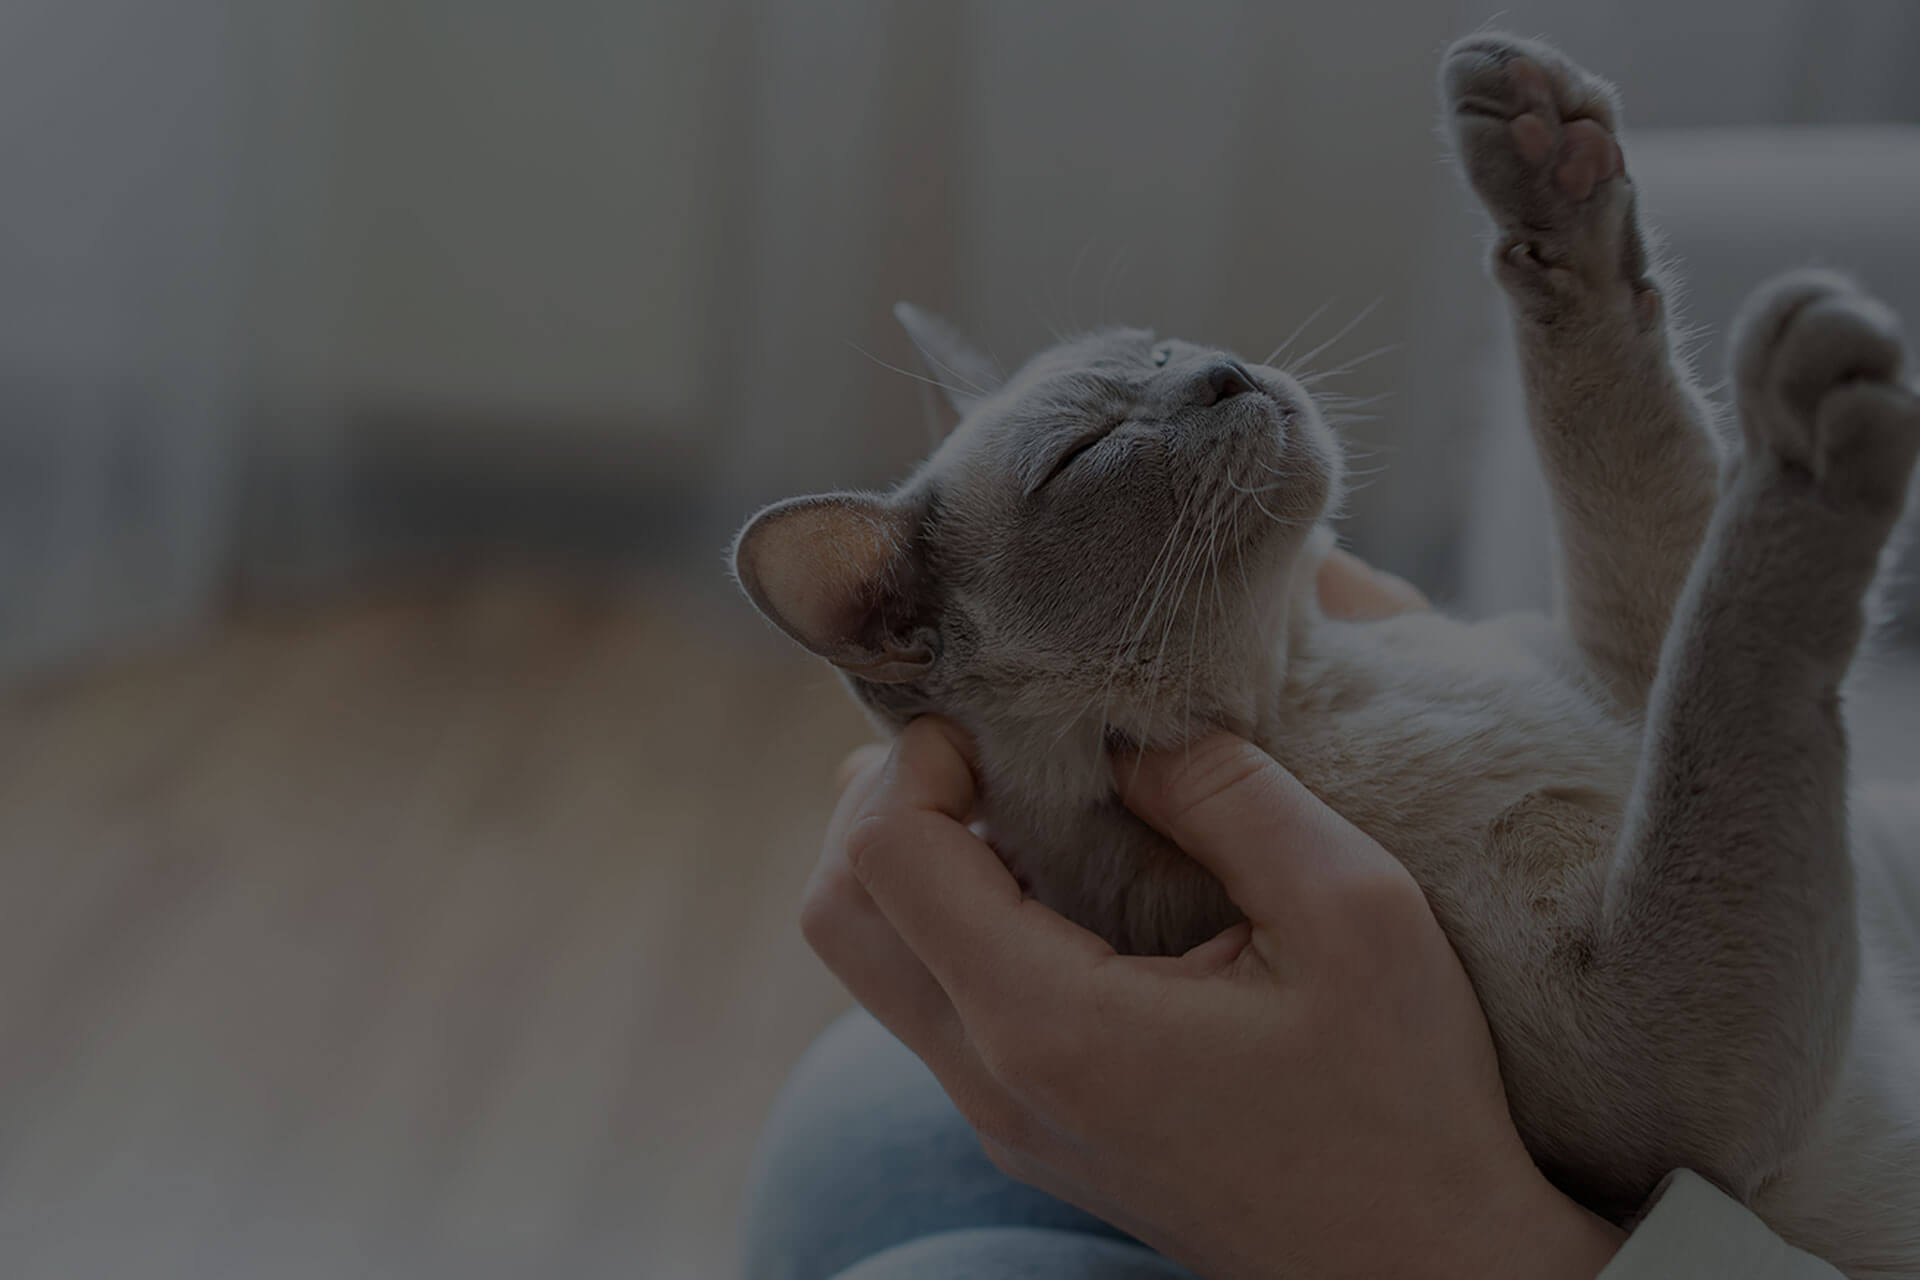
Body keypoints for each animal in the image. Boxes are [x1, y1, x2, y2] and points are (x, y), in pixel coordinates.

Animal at [729, 32, 1920, 1280]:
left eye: (1163, 347)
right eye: (1087, 452)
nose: (1223, 371)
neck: (1307, 676)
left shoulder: (1632, 664)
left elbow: (1625, 459)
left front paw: (1538, 146)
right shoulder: (1658, 1074)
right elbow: (1735, 647)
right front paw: (1809, 417)